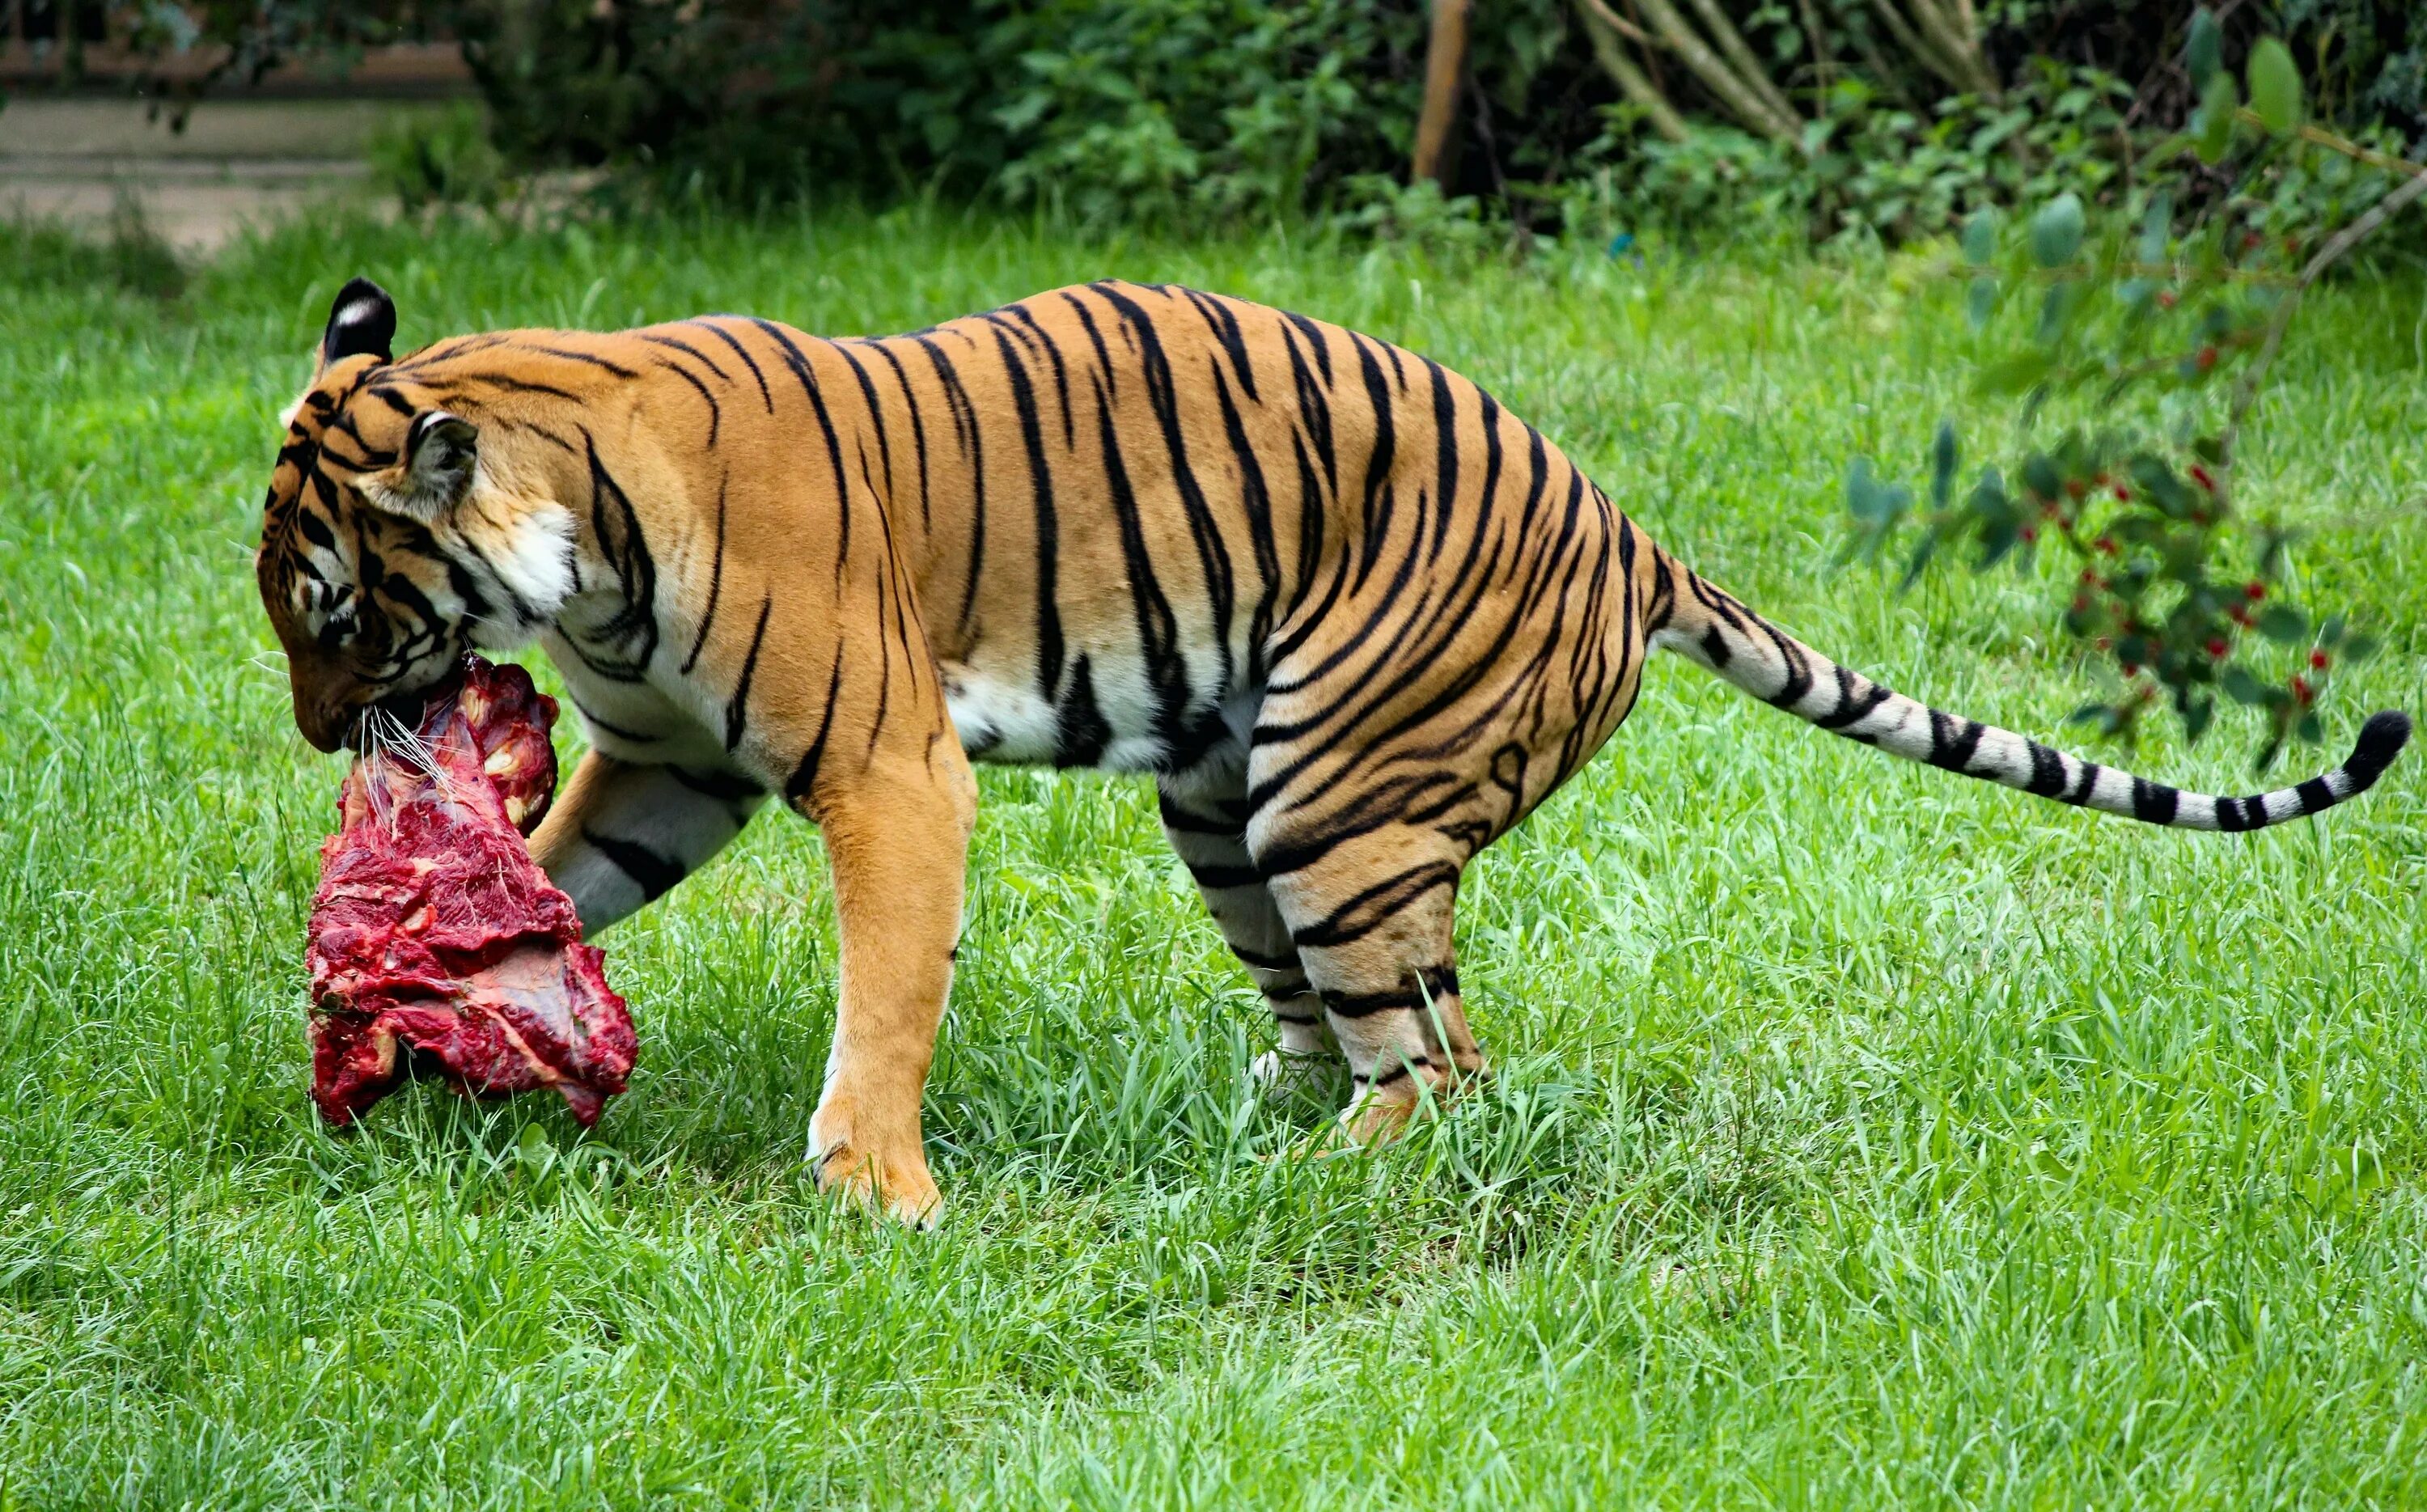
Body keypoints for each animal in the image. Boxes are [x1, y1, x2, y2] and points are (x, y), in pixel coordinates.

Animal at [260, 275, 2408, 1233]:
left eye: (333, 612)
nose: (316, 733)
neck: (581, 544)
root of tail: (1631, 532)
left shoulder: (889, 772)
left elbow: (884, 996)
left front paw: (876, 1188)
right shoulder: (670, 765)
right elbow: (559, 897)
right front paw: (416, 1001)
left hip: (1334, 791)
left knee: (1443, 1073)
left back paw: (1288, 1184)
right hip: (1223, 794)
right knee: (1346, 1030)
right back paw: (1234, 1122)